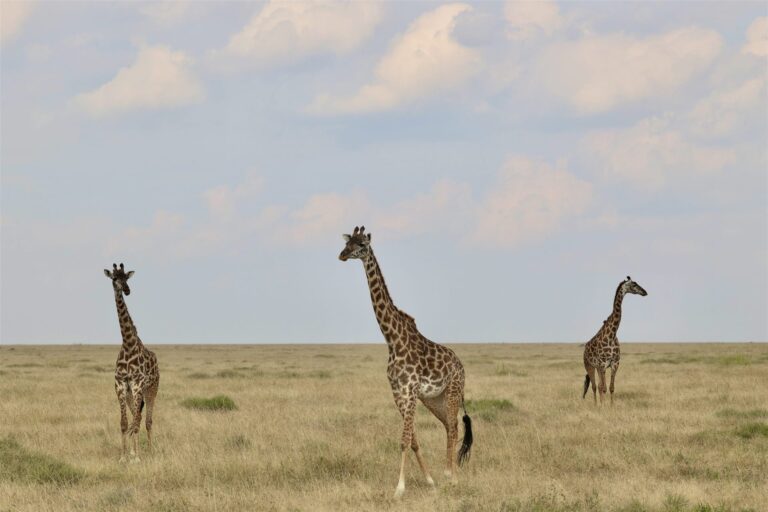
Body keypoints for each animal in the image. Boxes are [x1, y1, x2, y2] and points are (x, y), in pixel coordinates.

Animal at [103, 263, 160, 462]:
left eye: (126, 278)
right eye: (114, 278)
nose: (127, 290)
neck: (128, 344)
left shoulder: (137, 385)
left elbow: (135, 422)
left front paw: (135, 457)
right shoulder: (121, 385)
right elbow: (124, 422)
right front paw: (124, 456)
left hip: (151, 390)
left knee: (148, 420)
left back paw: (149, 451)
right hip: (132, 394)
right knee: (138, 418)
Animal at [339, 226, 473, 499]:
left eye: (362, 244)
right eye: (348, 243)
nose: (342, 255)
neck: (392, 339)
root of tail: (461, 365)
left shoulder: (410, 390)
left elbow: (404, 439)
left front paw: (399, 488)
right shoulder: (398, 392)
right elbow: (413, 439)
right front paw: (429, 480)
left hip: (453, 391)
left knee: (454, 427)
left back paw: (453, 478)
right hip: (434, 399)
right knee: (449, 426)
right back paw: (446, 473)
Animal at [582, 276, 647, 405]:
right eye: (634, 284)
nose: (645, 292)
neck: (612, 335)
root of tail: (584, 350)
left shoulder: (614, 363)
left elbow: (611, 387)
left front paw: (611, 406)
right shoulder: (603, 364)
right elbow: (604, 388)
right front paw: (603, 406)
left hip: (598, 368)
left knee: (598, 385)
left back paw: (599, 404)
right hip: (589, 366)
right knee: (594, 386)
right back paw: (596, 405)